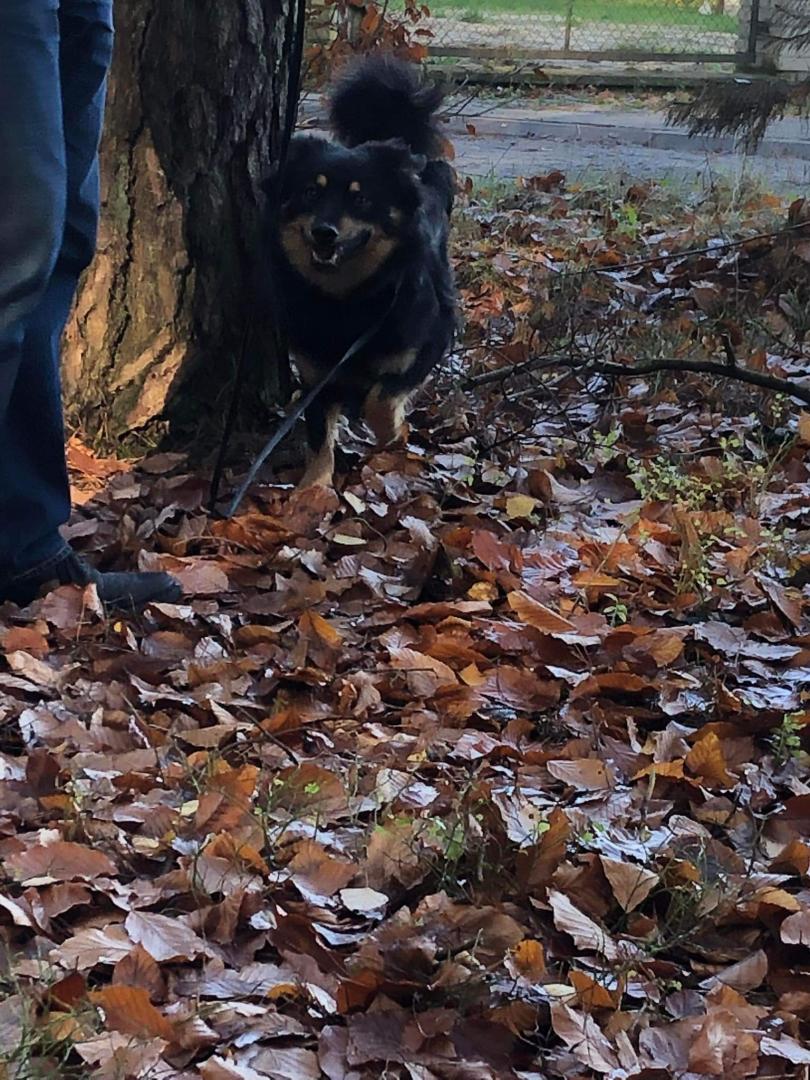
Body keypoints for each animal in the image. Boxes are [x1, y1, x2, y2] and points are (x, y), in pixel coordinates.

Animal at [269, 55, 456, 489]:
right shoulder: (315, 372)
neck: (347, 303)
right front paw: (312, 491)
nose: (324, 232)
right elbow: (319, 437)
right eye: (311, 192)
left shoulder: (426, 345)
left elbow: (381, 399)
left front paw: (394, 436)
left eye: (361, 198)